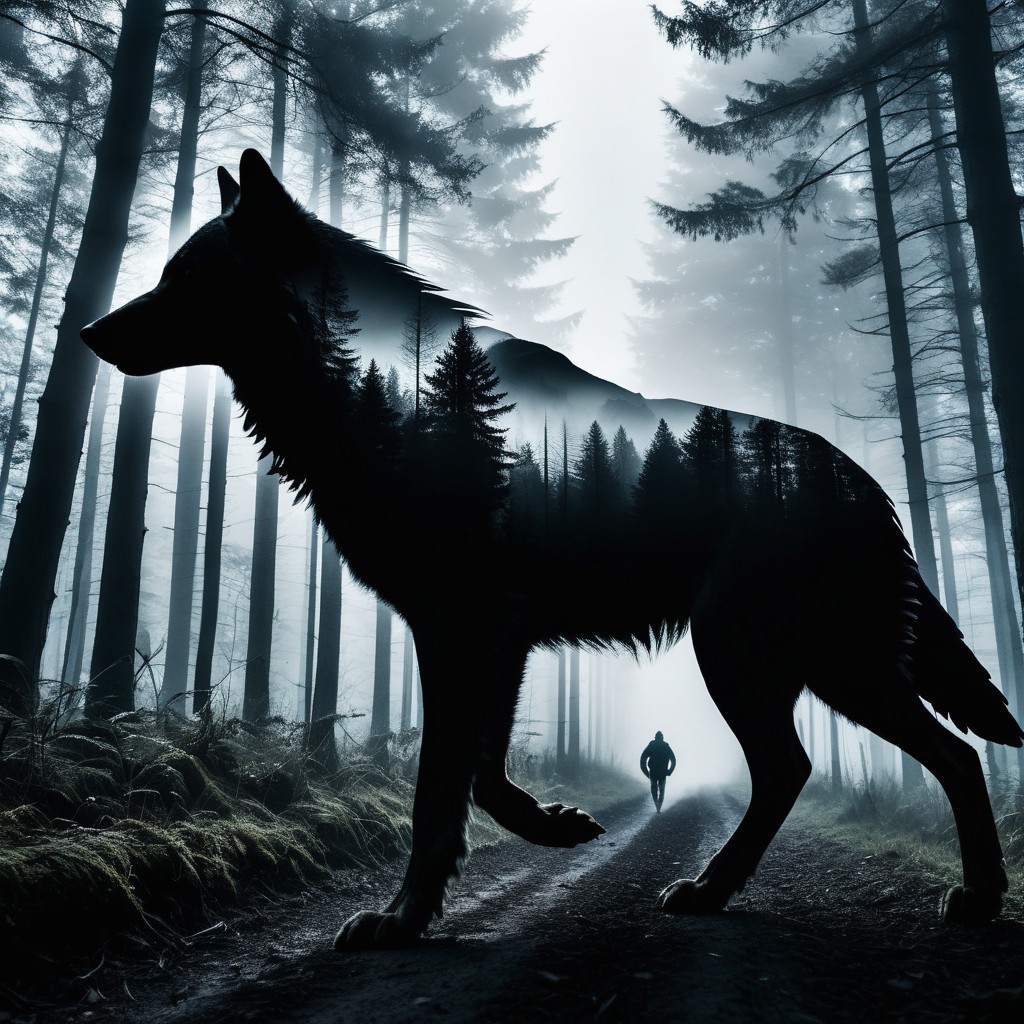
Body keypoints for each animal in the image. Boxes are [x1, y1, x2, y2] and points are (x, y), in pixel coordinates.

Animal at [82, 149, 1023, 947]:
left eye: (182, 277)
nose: (89, 331)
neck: (375, 387)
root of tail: (868, 485)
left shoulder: (461, 629)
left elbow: (439, 788)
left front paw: (400, 919)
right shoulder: (494, 640)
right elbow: (482, 775)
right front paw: (552, 828)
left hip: (771, 658)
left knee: (926, 757)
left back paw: (967, 896)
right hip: (801, 665)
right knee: (828, 767)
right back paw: (721, 890)